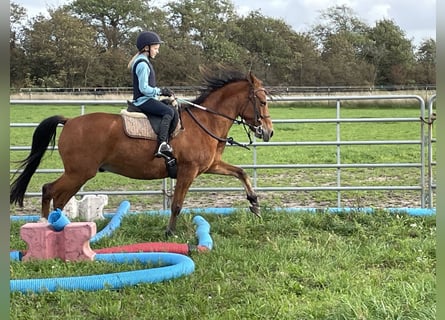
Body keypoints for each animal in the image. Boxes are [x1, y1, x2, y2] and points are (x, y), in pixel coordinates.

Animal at [10, 69, 272, 235]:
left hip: (79, 174)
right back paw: (46, 225)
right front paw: (170, 232)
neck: (205, 121)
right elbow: (177, 204)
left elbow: (241, 173)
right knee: (50, 190)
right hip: (79, 173)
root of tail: (70, 121)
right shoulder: (188, 171)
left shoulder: (209, 166)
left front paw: (255, 204)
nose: (268, 132)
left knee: (58, 197)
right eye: (263, 101)